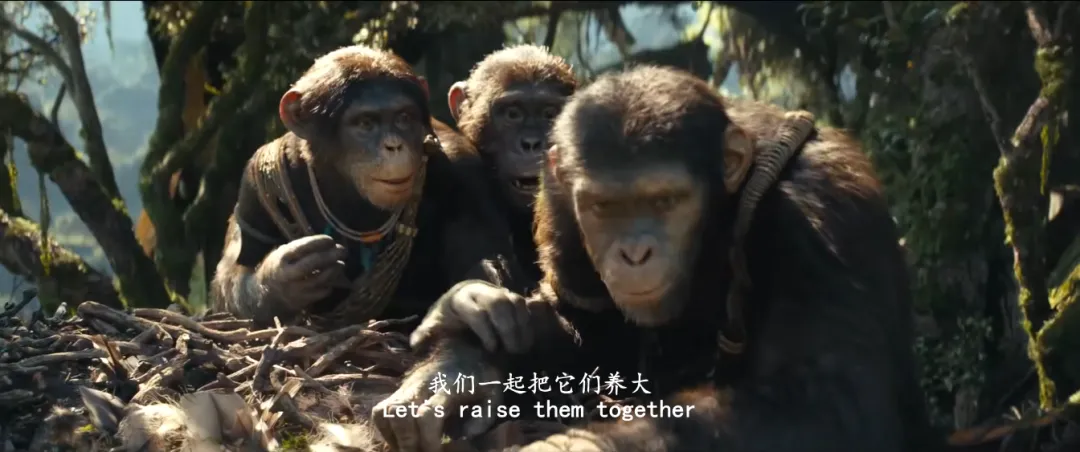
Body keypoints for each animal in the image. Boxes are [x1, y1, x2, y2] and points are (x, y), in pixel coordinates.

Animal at [209, 45, 521, 330]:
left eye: (403, 118)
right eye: (365, 123)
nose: (394, 145)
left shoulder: (465, 172)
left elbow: (483, 259)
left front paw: (471, 298)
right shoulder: (255, 180)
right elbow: (235, 270)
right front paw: (282, 278)